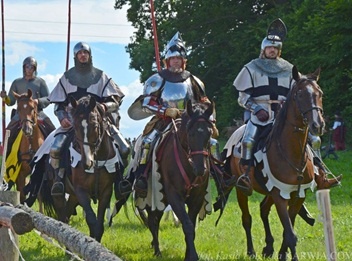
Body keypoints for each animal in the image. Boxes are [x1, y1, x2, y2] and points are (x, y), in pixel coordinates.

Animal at [135, 99, 213, 258]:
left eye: (209, 133)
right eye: (190, 133)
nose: (200, 169)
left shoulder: (197, 198)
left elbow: (191, 225)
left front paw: (189, 254)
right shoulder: (174, 195)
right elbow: (187, 225)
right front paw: (192, 256)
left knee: (155, 220)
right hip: (153, 196)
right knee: (152, 221)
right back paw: (157, 250)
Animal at [228, 65, 324, 260]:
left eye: (320, 93)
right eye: (300, 94)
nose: (317, 125)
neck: (292, 153)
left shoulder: (297, 195)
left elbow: (289, 230)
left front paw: (282, 254)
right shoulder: (280, 195)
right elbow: (290, 234)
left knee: (263, 209)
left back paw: (268, 247)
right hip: (241, 188)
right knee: (247, 219)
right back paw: (252, 251)